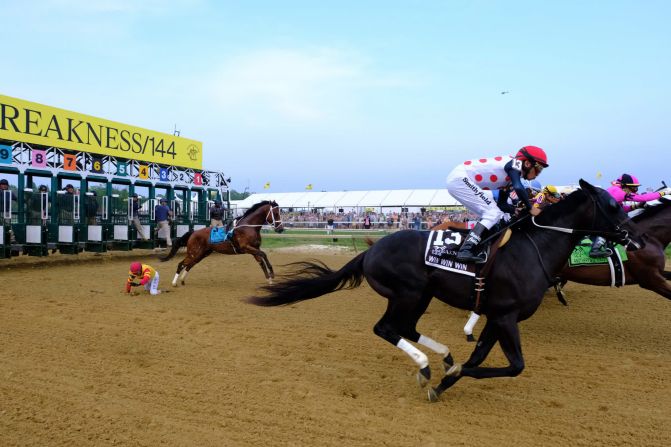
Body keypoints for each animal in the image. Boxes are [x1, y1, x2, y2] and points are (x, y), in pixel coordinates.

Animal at [247, 181, 640, 402]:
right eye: (614, 204)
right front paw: (448, 377)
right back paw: (424, 365)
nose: (633, 237)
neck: (534, 248)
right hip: (407, 292)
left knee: (404, 328)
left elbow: (479, 358)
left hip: (421, 295)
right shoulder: (506, 316)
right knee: (385, 328)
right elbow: (515, 366)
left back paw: (444, 357)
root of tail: (370, 251)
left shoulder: (497, 316)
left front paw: (448, 379)